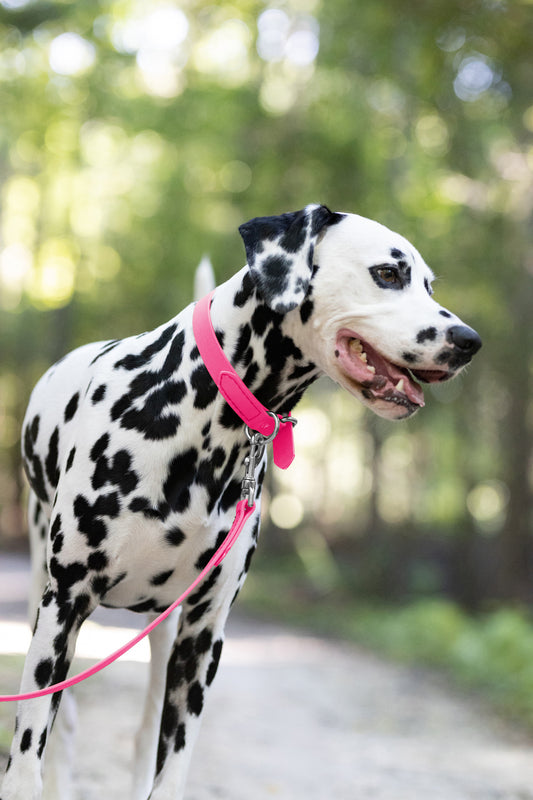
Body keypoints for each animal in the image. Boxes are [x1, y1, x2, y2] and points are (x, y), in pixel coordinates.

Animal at [1, 206, 482, 800]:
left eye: (429, 284)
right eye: (388, 274)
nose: (469, 340)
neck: (199, 416)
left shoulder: (203, 635)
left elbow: (171, 769)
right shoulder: (65, 606)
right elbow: (27, 758)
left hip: (164, 632)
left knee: (142, 738)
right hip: (45, 602)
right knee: (62, 733)